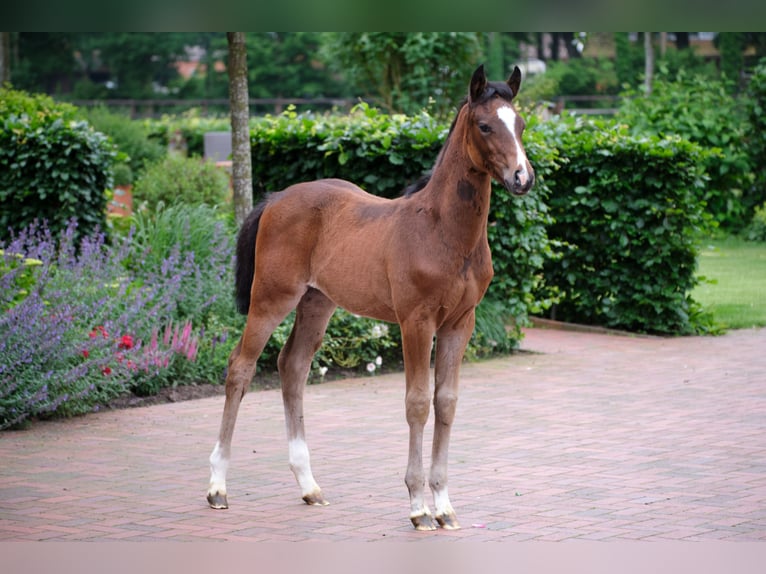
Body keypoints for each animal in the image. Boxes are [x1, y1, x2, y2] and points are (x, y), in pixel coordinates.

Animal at [207, 65, 536, 532]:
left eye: (520, 124)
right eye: (485, 125)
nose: (522, 178)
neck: (443, 231)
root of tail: (275, 198)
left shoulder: (460, 323)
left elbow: (446, 403)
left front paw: (445, 506)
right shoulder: (416, 321)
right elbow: (417, 403)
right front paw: (418, 506)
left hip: (317, 303)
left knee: (292, 367)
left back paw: (309, 486)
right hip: (272, 298)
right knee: (241, 367)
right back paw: (218, 487)